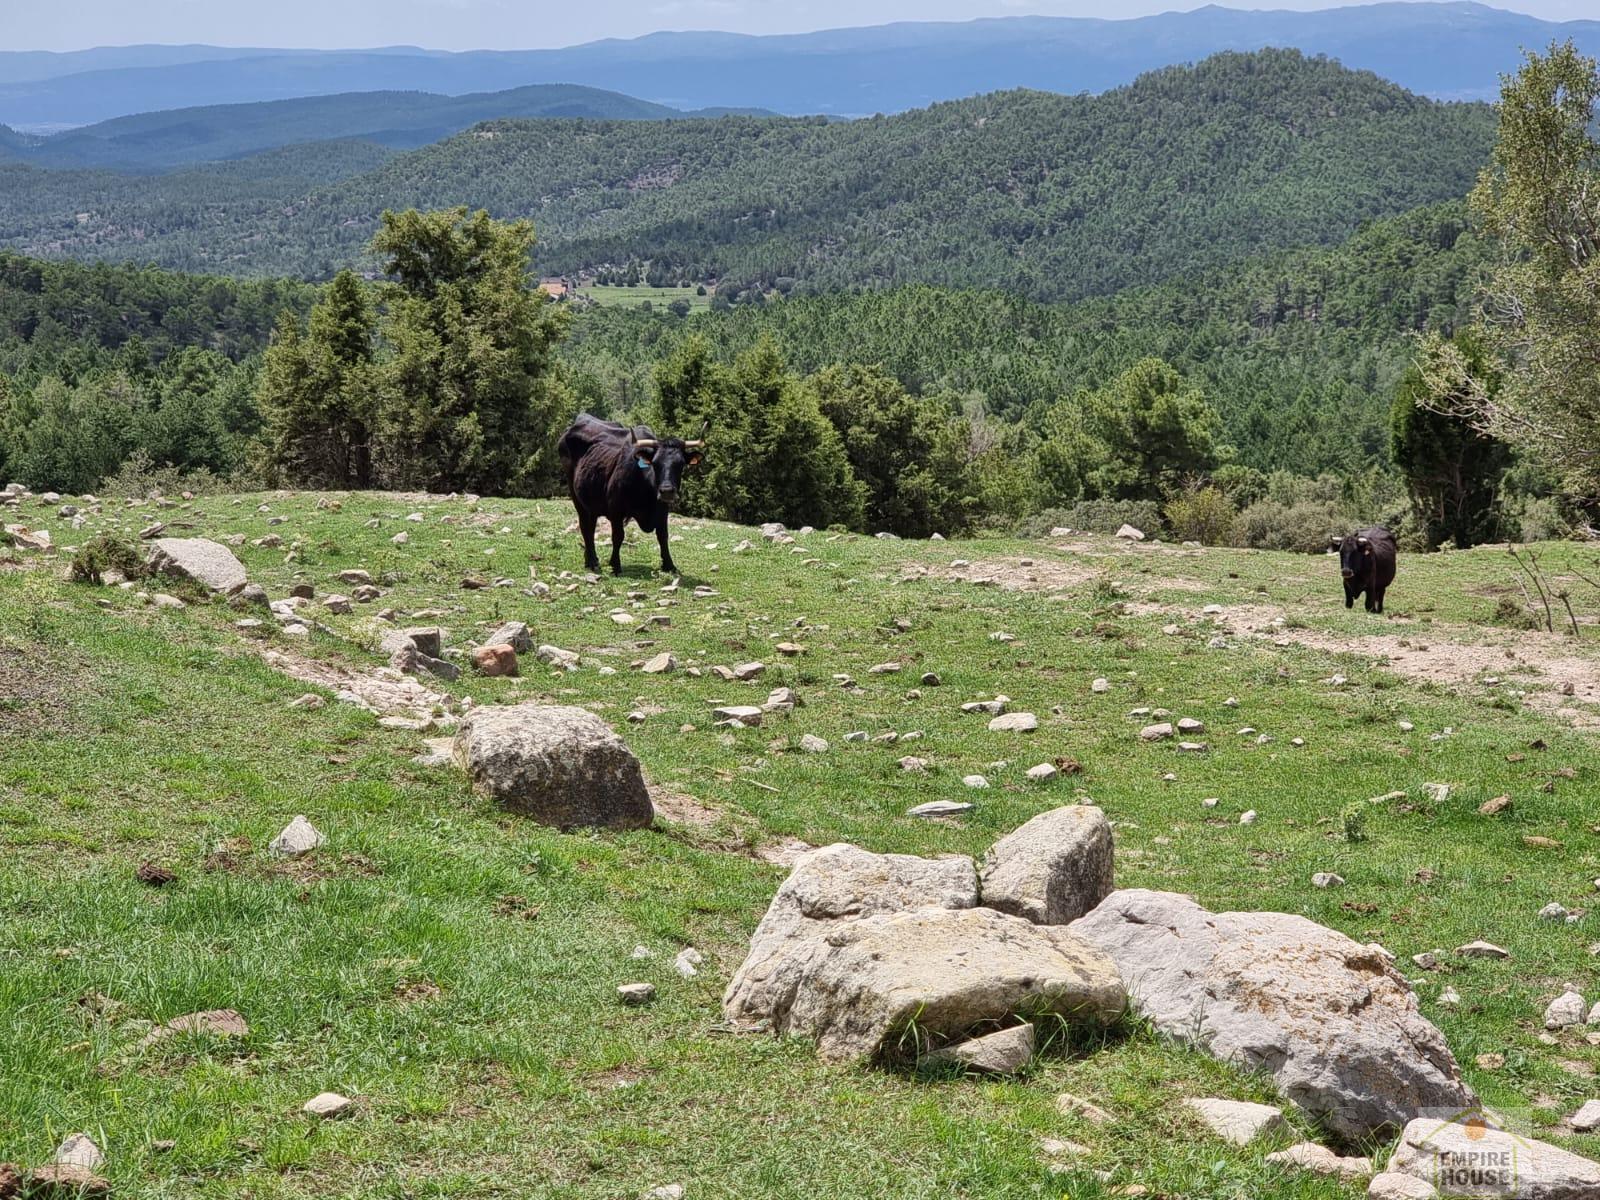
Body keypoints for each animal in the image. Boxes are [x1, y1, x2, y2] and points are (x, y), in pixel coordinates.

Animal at [556, 412, 707, 579]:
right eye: (655, 463)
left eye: (680, 464)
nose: (667, 490)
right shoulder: (615, 509)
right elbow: (618, 536)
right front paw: (615, 565)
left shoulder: (663, 509)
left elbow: (663, 536)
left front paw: (669, 565)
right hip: (576, 496)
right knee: (585, 527)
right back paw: (593, 563)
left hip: (591, 503)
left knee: (590, 527)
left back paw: (591, 560)